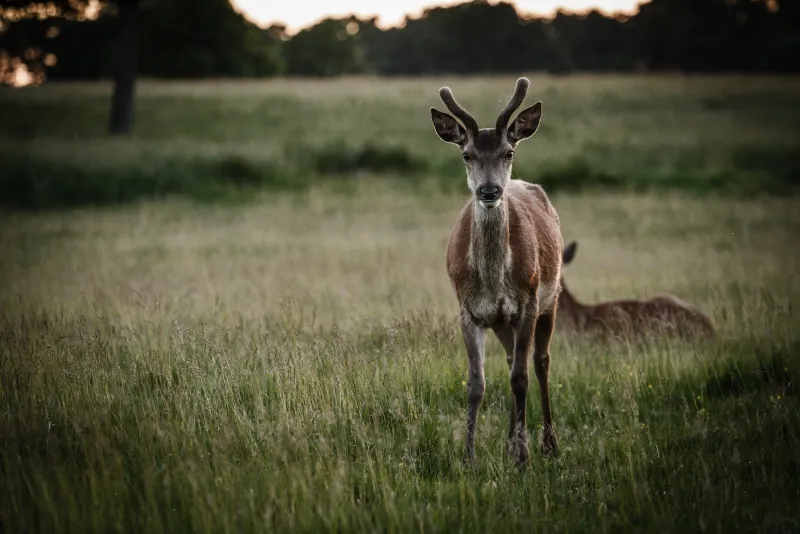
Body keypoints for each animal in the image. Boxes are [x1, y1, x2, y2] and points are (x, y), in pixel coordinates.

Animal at [430, 77, 563, 469]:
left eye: (508, 152)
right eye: (466, 154)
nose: (489, 190)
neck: (492, 282)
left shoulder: (528, 303)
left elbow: (521, 378)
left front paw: (523, 458)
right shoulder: (468, 311)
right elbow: (477, 384)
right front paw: (468, 457)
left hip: (551, 298)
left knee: (540, 363)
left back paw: (548, 444)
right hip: (503, 323)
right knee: (509, 362)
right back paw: (508, 442)